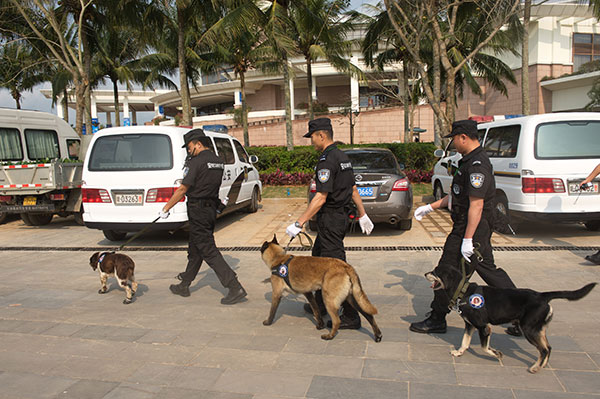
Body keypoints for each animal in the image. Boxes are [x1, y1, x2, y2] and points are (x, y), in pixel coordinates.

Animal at [426, 268, 596, 376]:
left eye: (435, 271)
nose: (425, 273)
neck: (464, 291)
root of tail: (542, 295)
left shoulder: (484, 327)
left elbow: (484, 347)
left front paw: (497, 354)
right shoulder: (470, 325)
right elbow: (465, 342)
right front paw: (459, 352)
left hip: (529, 329)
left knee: (543, 349)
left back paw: (535, 368)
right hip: (538, 329)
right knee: (548, 348)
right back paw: (541, 365)